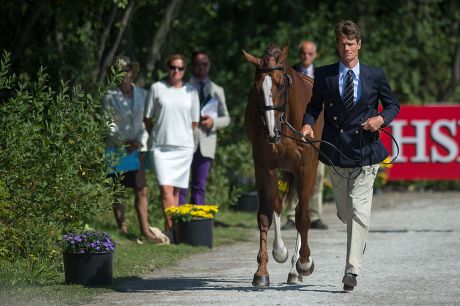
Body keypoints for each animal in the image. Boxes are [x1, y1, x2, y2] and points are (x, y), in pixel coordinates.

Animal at [244, 43, 324, 286]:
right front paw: (264, 268)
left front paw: (304, 263)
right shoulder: (264, 167)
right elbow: (268, 212)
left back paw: (296, 269)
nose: (271, 132)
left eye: (281, 85)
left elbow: (303, 216)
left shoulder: (306, 168)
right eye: (256, 88)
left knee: (301, 209)